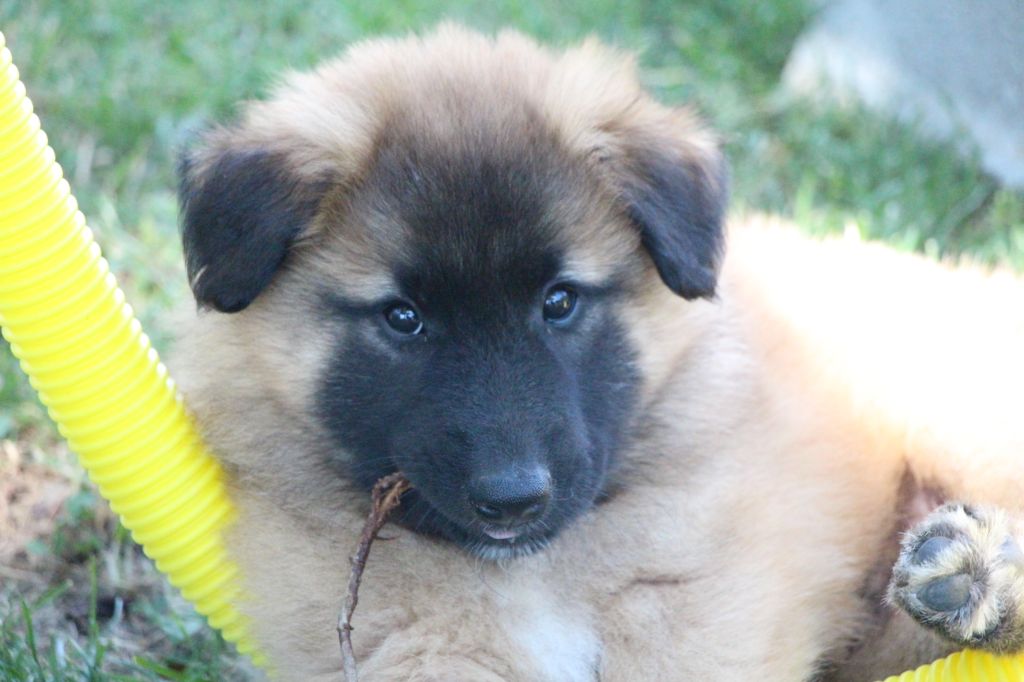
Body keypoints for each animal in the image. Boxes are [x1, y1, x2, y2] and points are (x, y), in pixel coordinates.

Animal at [169, 23, 1024, 675]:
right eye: (402, 318)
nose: (512, 499)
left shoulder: (697, 605)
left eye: (560, 302)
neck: (537, 574)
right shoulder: (405, 636)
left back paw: (976, 569)